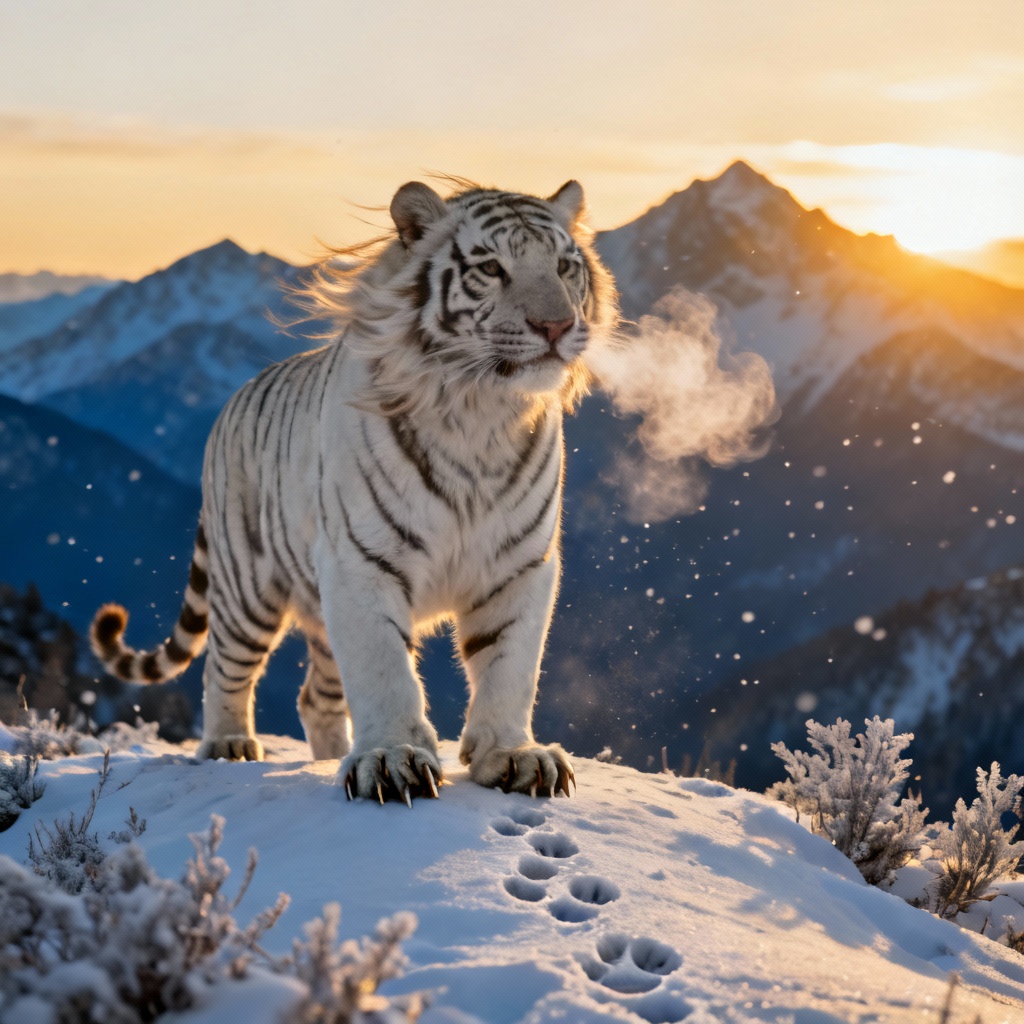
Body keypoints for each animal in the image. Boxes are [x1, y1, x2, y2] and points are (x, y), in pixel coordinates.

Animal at [90, 178, 618, 804]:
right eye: (491, 268)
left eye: (565, 267)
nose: (556, 327)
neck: (481, 417)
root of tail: (232, 399)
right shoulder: (363, 561)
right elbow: (384, 667)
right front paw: (391, 759)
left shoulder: (519, 564)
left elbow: (510, 664)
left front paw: (512, 755)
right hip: (247, 588)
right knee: (224, 667)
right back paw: (229, 744)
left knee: (315, 697)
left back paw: (327, 756)